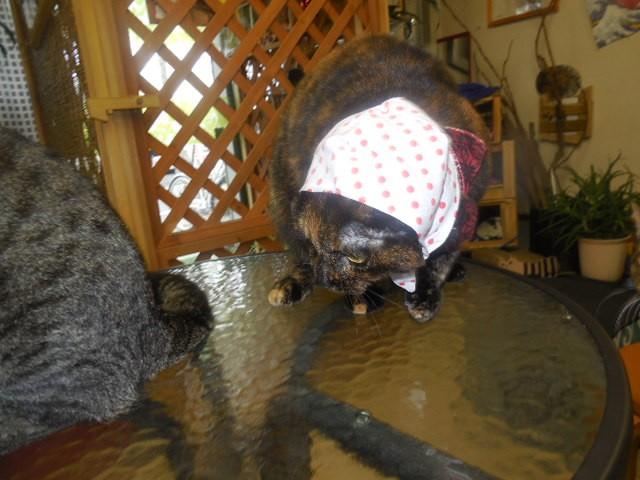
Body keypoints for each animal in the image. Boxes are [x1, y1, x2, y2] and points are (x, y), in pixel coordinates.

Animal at [268, 34, 489, 323]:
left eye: (356, 258)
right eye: (314, 245)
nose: (324, 279)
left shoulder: (462, 208)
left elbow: (441, 257)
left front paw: (425, 292)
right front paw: (364, 296)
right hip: (281, 195)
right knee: (296, 253)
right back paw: (292, 284)